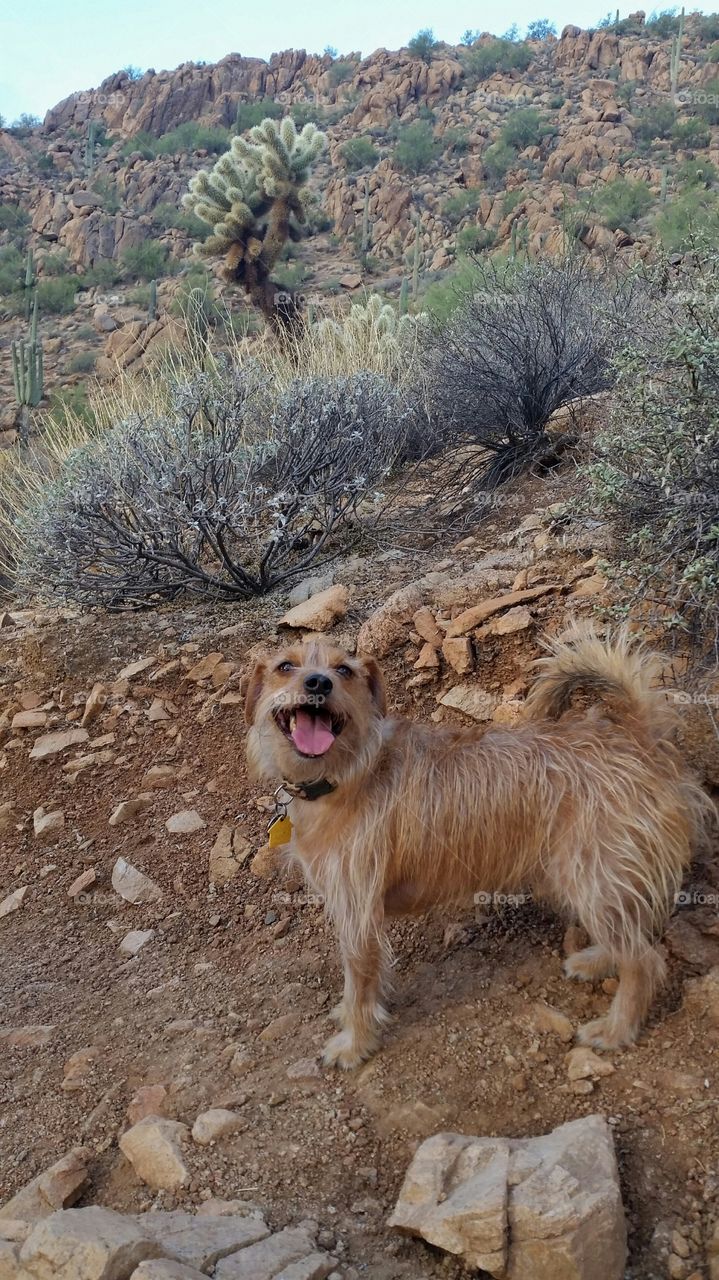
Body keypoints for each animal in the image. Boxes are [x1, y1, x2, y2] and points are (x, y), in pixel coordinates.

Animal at [243, 629, 706, 1070]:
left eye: (344, 671)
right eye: (285, 666)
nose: (318, 682)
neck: (348, 772)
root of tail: (638, 735)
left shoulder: (358, 913)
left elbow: (360, 981)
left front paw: (355, 1043)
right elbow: (360, 984)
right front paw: (348, 1014)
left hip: (595, 876)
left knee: (644, 961)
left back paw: (616, 1029)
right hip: (594, 878)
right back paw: (595, 961)